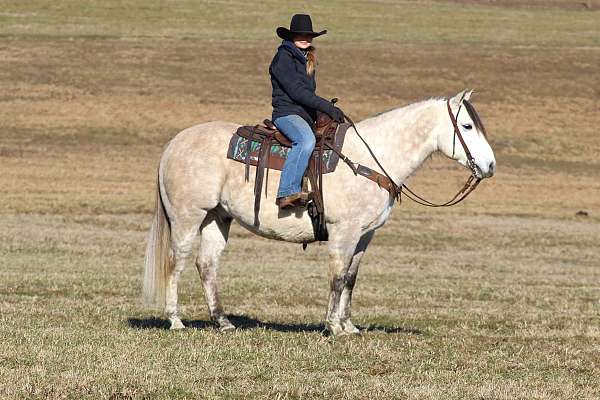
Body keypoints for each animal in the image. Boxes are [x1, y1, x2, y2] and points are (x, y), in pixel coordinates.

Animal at [143, 90, 494, 334]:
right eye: (466, 125)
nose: (490, 166)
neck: (371, 158)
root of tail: (173, 144)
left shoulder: (365, 235)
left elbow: (350, 278)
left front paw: (350, 326)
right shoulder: (344, 231)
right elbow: (337, 276)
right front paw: (333, 326)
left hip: (218, 217)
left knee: (207, 264)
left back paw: (223, 321)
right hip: (187, 217)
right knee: (177, 261)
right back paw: (175, 320)